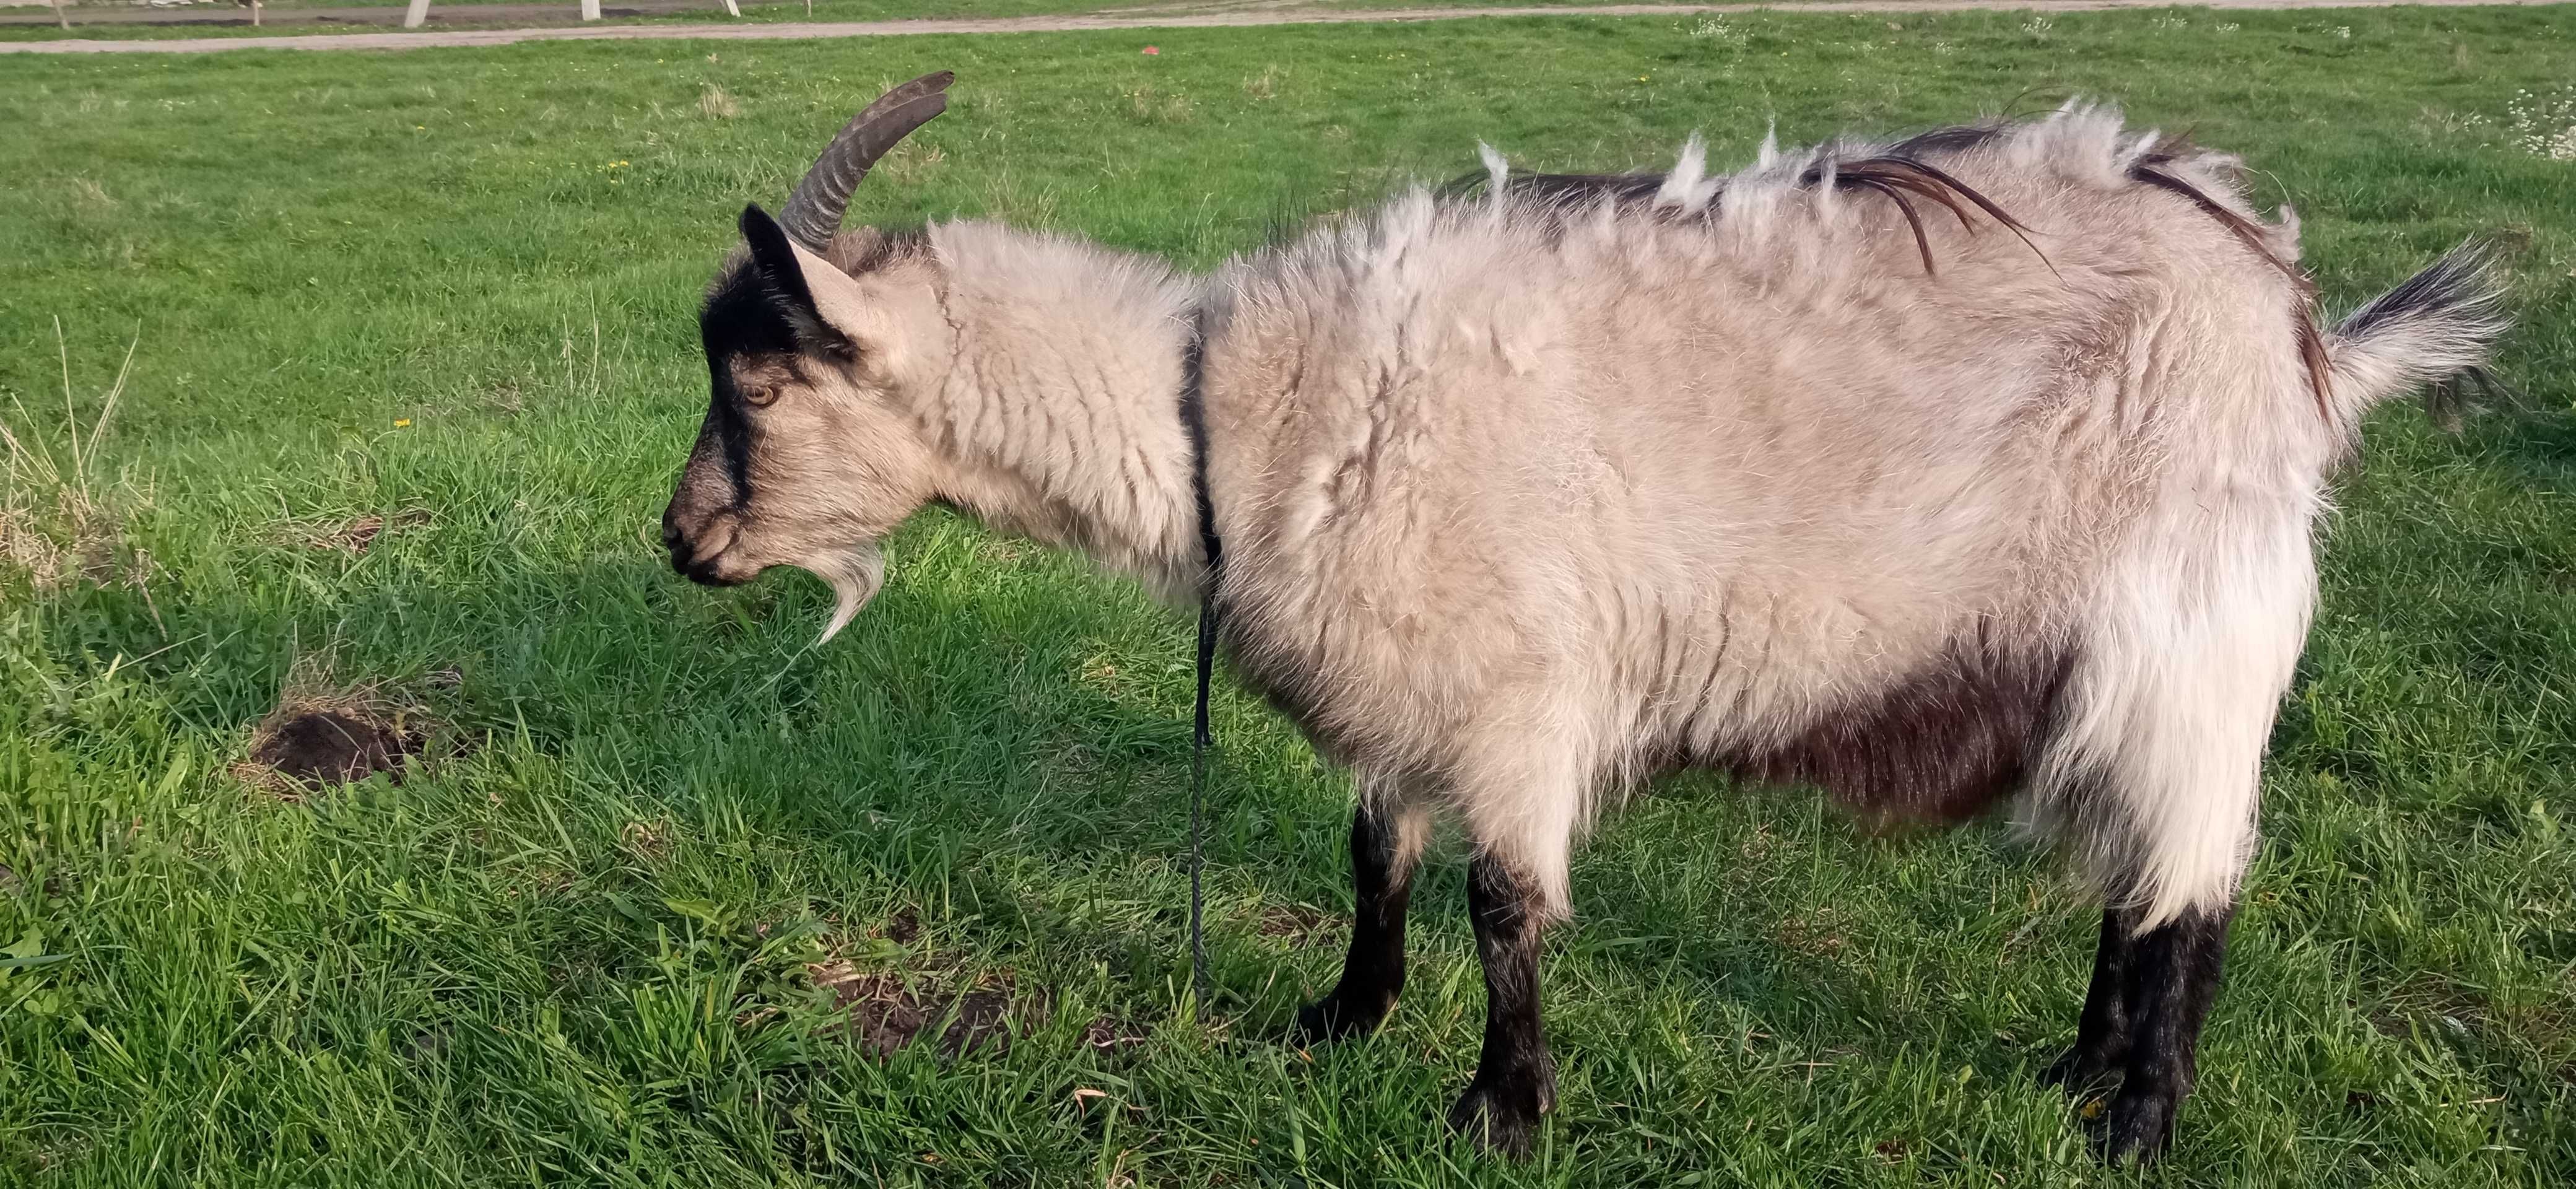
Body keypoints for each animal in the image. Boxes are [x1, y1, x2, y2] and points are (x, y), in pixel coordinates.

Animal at [659, 74, 2514, 1163]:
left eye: (758, 379)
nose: (680, 542)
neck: (1222, 415)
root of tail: (2306, 327)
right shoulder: (1402, 682)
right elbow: (1376, 859)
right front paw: (1341, 1020)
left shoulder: (1516, 691)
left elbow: (1506, 908)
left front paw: (1500, 1109)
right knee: (2132, 876)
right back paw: (2076, 1073)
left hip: (2201, 620)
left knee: (2195, 881)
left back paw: (2137, 1119)